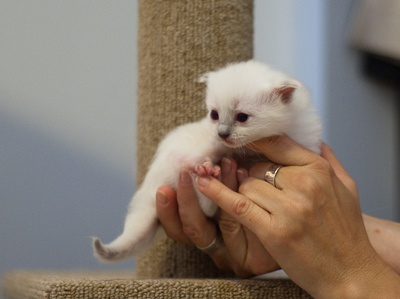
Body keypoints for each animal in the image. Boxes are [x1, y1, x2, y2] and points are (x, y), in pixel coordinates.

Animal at [91, 60, 322, 262]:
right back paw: (205, 172)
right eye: (214, 114)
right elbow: (211, 148)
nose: (222, 133)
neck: (248, 150)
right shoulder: (217, 143)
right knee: (204, 204)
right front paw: (197, 160)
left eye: (242, 117)